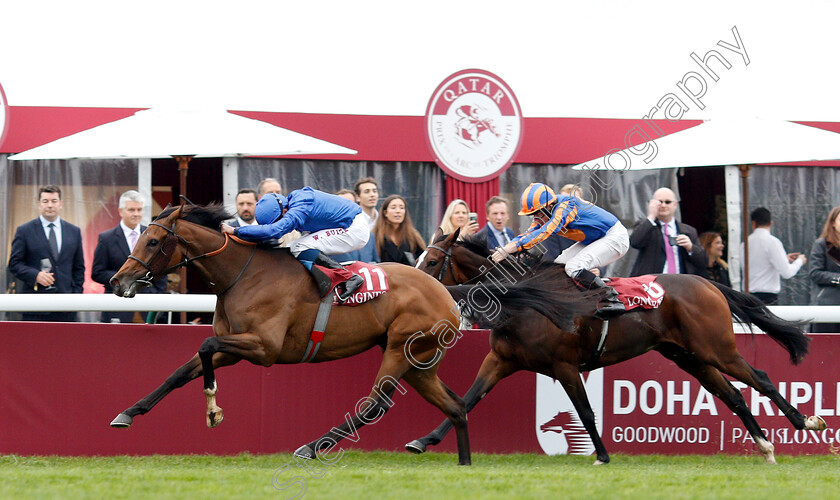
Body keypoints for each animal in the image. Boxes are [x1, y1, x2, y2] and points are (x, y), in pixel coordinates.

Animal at [107, 204, 470, 464]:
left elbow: (206, 344)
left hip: (400, 348)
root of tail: (445, 293)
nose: (117, 281)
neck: (245, 274)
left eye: (153, 241)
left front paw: (212, 409)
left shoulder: (264, 348)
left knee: (375, 404)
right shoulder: (235, 348)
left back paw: (311, 447)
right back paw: (464, 462)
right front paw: (128, 413)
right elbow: (181, 371)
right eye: (142, 237)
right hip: (419, 360)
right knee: (455, 405)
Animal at [408, 230, 828, 464]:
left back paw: (805, 422)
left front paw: (602, 455)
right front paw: (421, 441)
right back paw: (765, 447)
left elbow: (585, 411)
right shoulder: (501, 359)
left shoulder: (564, 366)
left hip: (716, 348)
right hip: (689, 357)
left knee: (761, 378)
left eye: (431, 260)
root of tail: (708, 282)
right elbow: (467, 399)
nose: (414, 288)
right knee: (734, 395)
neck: (525, 299)